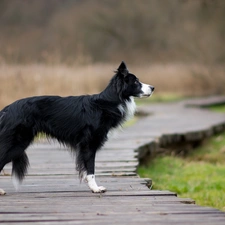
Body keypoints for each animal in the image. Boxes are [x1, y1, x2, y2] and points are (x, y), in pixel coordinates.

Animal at [0, 60, 153, 194]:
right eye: (135, 81)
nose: (153, 88)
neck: (108, 102)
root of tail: (6, 109)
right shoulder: (89, 144)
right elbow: (91, 169)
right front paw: (95, 189)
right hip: (17, 143)